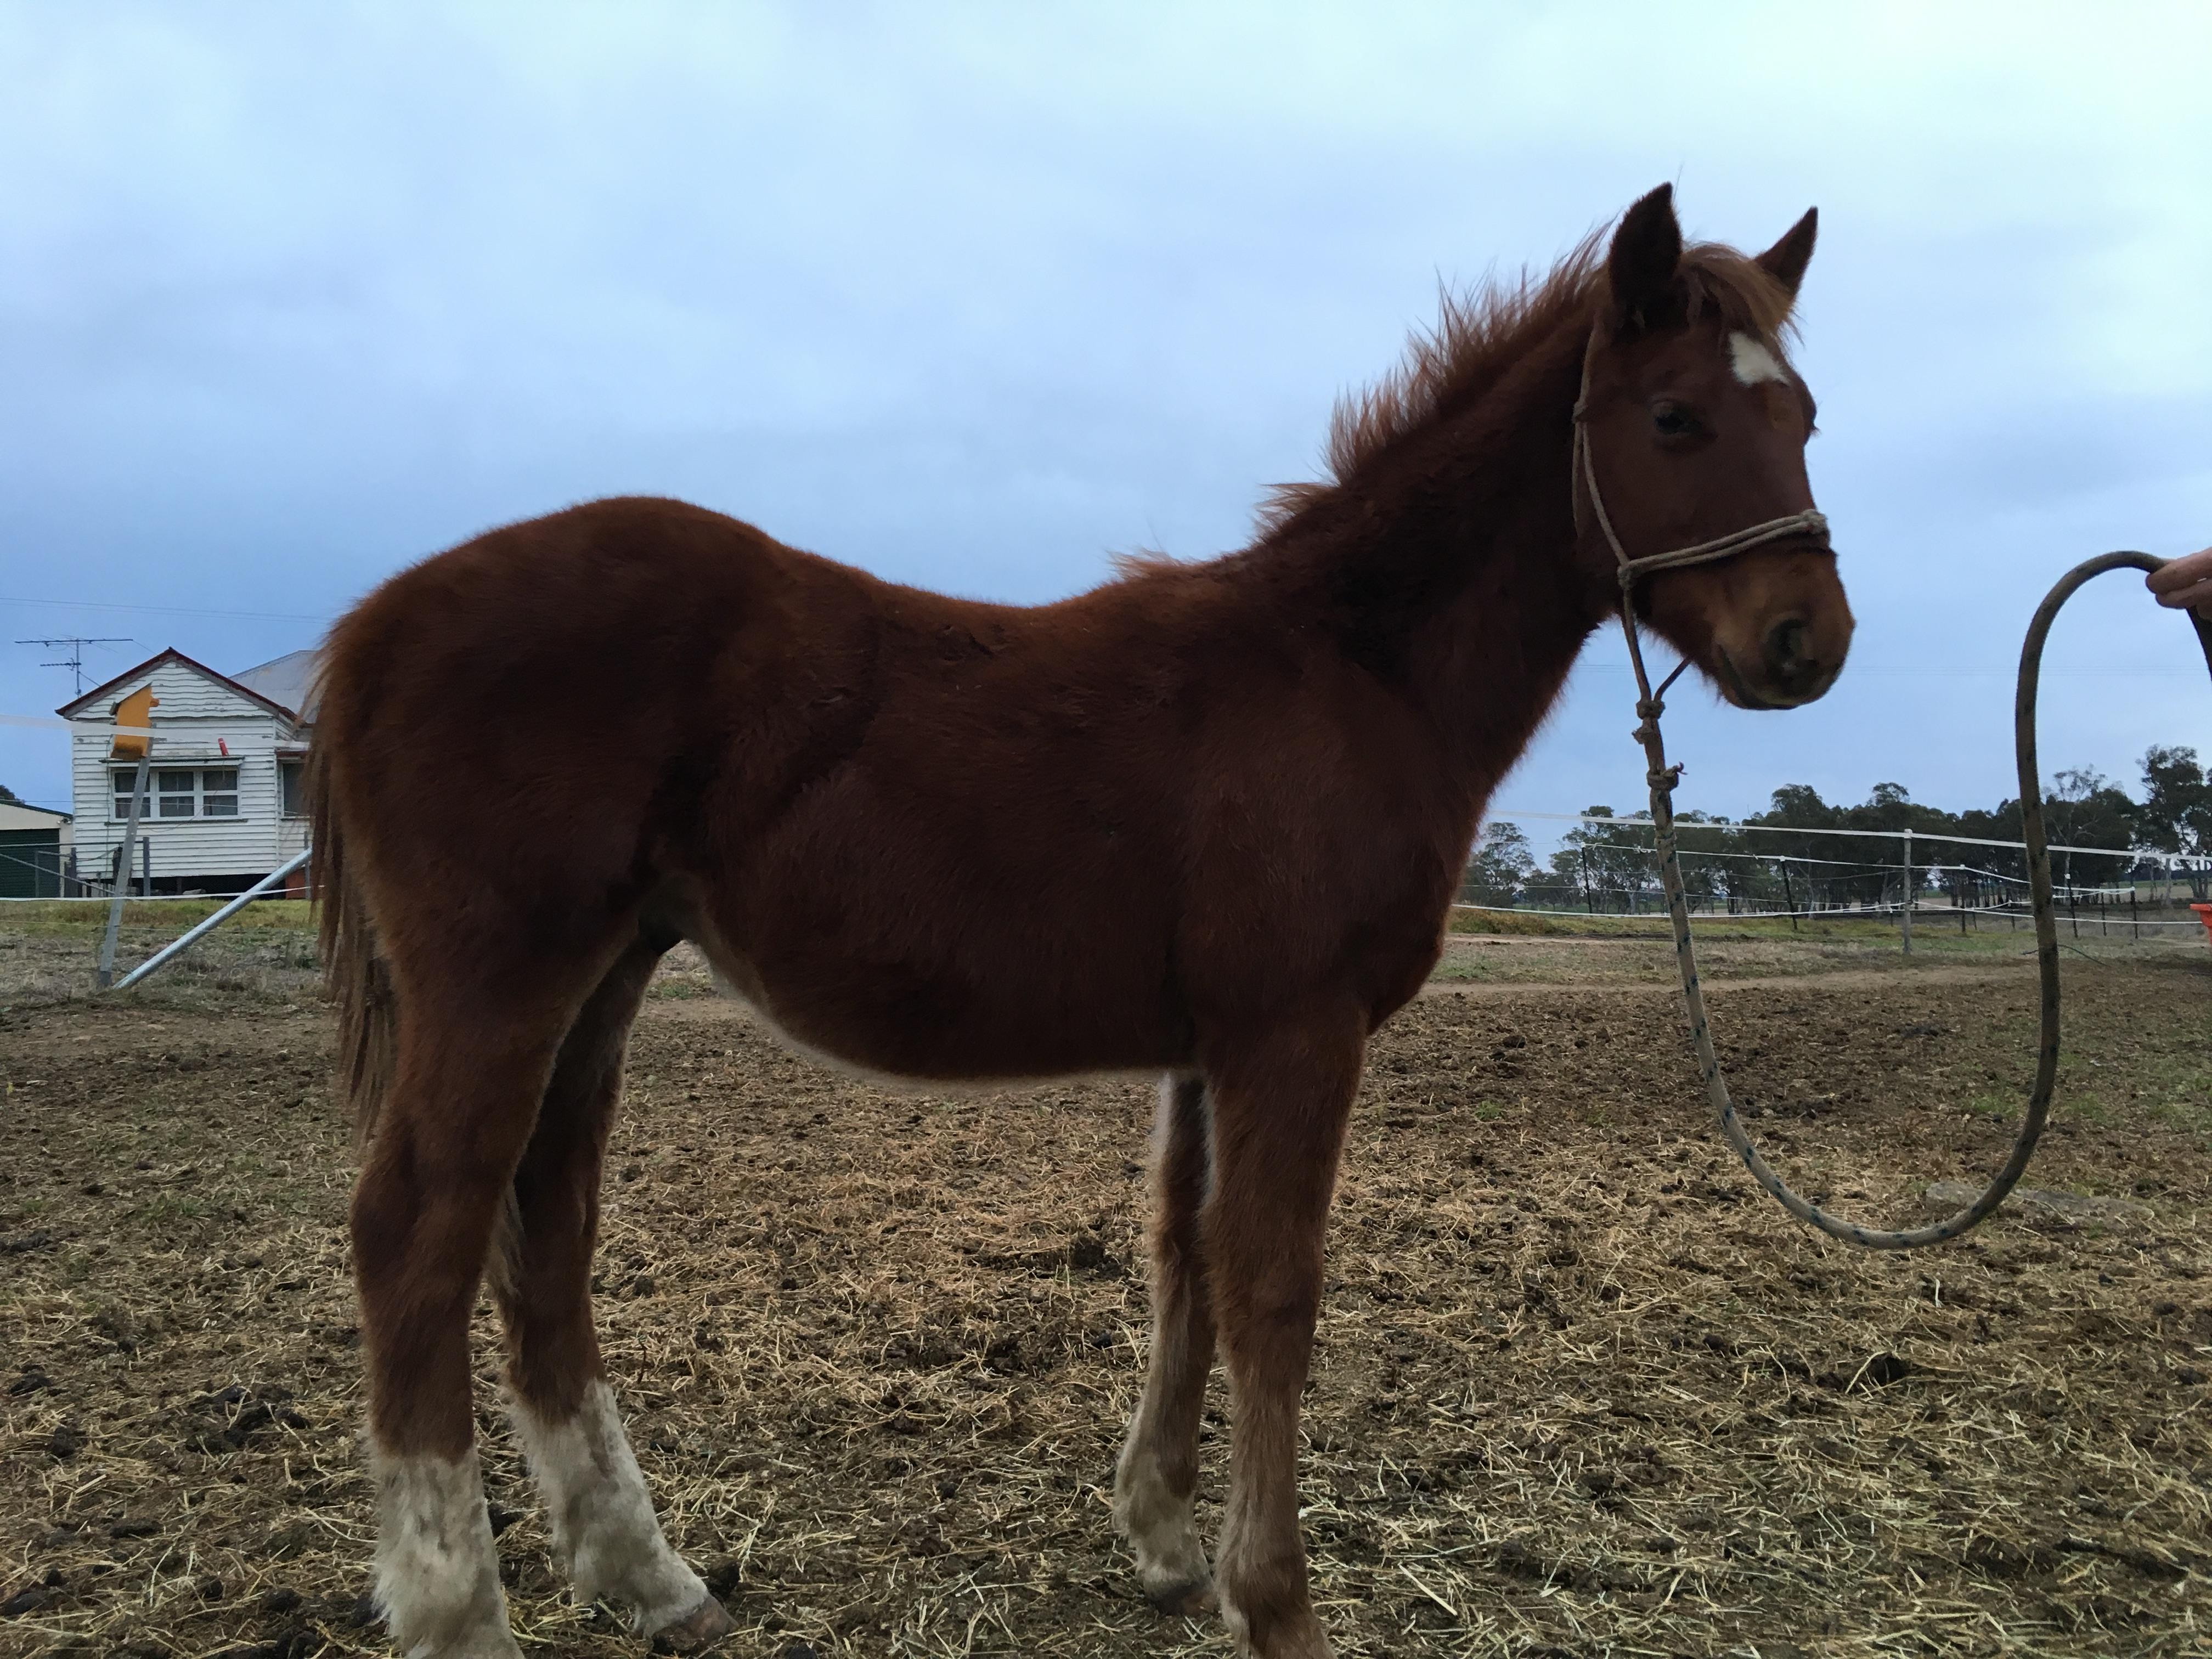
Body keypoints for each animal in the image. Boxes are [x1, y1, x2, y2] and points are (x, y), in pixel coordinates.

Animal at [310, 183, 1850, 1658]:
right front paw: (1276, 1605)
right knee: (417, 1237)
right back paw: (460, 1618)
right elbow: (1273, 1291)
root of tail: (371, 624)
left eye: (1805, 415)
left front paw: (1166, 1544)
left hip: (606, 978)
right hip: (505, 980)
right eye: (1674, 415)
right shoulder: (1297, 1032)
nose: (1809, 643)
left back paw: (653, 1580)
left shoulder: (1210, 1046)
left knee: (547, 1236)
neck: (1347, 674)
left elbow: (1186, 1262)